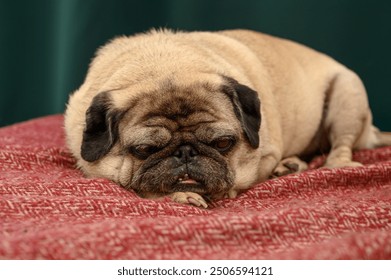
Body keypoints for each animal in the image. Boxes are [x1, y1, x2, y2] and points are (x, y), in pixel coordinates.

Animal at [65, 28, 391, 208]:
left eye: (223, 143)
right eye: (144, 150)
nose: (186, 153)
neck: (165, 63)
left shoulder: (263, 156)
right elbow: (140, 188)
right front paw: (182, 197)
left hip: (348, 94)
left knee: (340, 148)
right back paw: (291, 165)